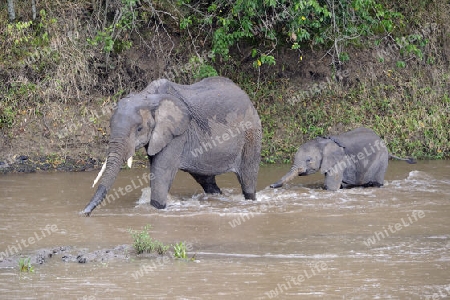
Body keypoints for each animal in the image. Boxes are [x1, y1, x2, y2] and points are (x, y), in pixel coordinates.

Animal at [82, 76, 262, 214]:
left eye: (139, 129)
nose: (84, 213)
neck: (147, 97)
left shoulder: (177, 134)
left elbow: (161, 172)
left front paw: (157, 208)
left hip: (251, 134)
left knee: (247, 177)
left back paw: (250, 199)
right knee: (206, 180)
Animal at [270, 126, 414, 190]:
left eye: (308, 160)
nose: (271, 186)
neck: (323, 142)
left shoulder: (338, 162)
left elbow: (331, 188)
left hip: (381, 161)